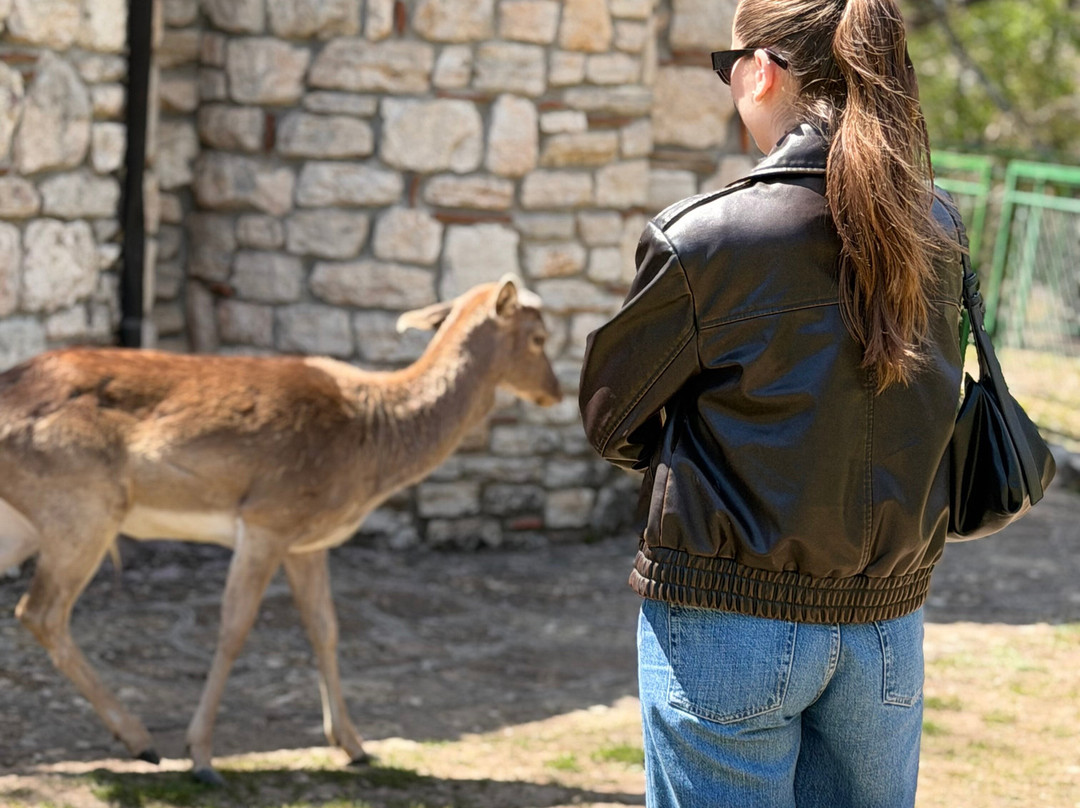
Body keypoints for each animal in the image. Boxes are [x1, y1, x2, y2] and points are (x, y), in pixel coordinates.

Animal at [0, 277, 561, 784]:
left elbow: (325, 628)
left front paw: (355, 746)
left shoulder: (306, 542)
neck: (373, 437)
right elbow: (234, 628)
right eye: (540, 337)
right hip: (83, 507)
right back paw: (142, 741)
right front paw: (201, 757)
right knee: (41, 611)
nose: (555, 391)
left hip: (31, 522)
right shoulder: (267, 518)